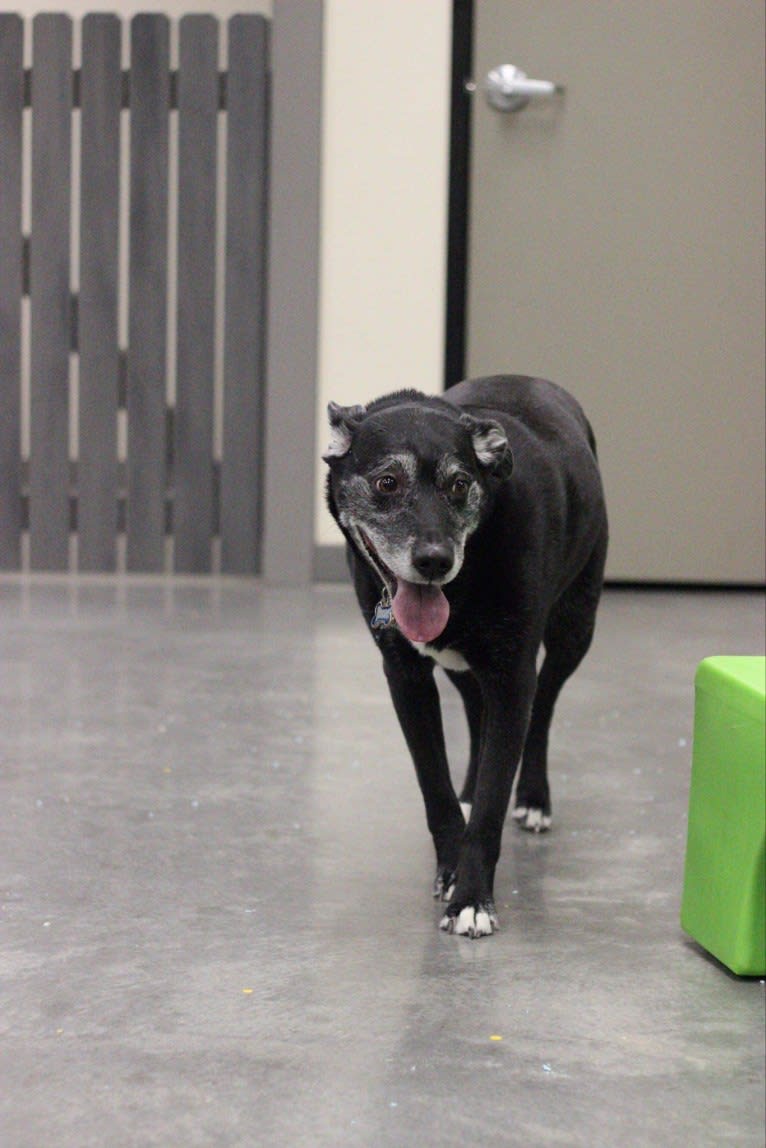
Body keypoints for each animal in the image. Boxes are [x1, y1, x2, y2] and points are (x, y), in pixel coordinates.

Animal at [321, 374, 606, 932]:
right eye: (387, 483)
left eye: (458, 484)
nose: (434, 561)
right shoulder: (406, 678)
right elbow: (435, 788)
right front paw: (451, 867)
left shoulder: (513, 675)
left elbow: (495, 800)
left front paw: (472, 898)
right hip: (459, 664)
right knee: (476, 710)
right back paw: (469, 787)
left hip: (573, 630)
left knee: (543, 707)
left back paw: (533, 796)